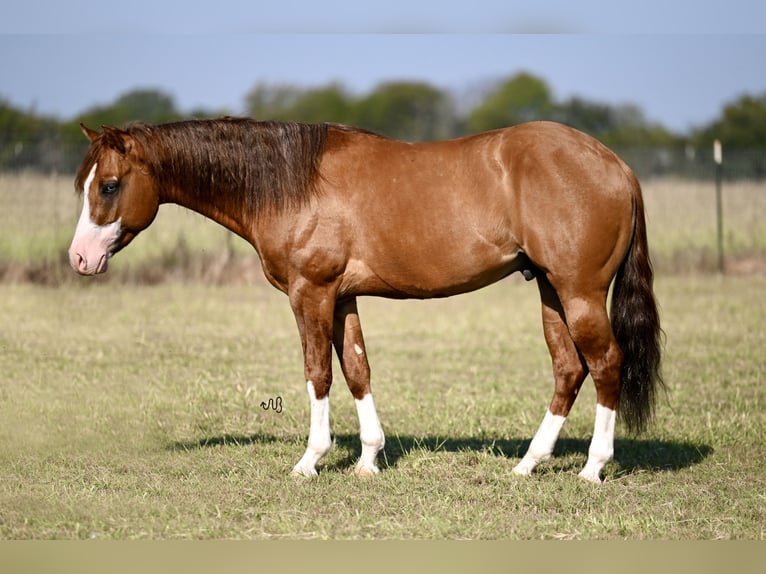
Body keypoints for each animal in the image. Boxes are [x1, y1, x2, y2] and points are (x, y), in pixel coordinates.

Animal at [69, 119, 664, 484]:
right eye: (85, 184)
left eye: (109, 185)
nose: (79, 258)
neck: (294, 185)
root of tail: (615, 164)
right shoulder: (342, 298)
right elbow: (357, 370)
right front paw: (369, 459)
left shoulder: (310, 293)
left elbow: (318, 373)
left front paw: (310, 461)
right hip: (549, 290)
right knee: (569, 369)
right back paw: (528, 464)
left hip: (579, 291)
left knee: (606, 363)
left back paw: (592, 468)